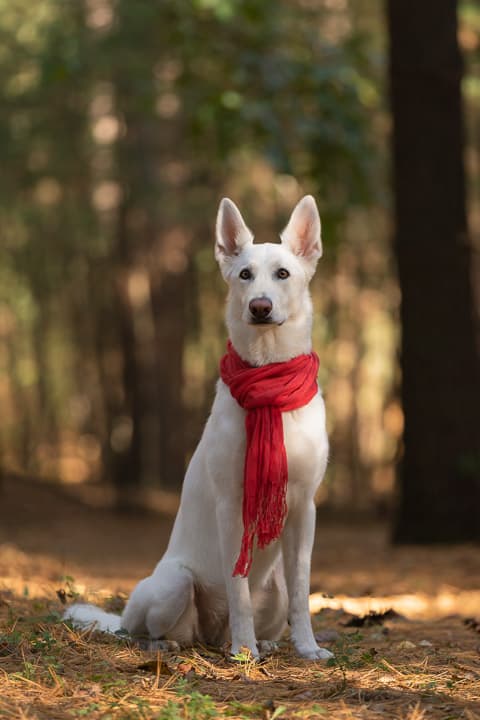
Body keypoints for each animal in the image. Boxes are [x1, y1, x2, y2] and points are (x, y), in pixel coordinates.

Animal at [65, 194, 332, 660]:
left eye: (283, 274)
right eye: (244, 275)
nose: (259, 306)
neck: (269, 386)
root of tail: (210, 634)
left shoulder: (303, 509)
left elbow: (302, 591)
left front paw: (307, 648)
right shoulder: (232, 507)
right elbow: (238, 587)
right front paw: (245, 653)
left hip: (273, 590)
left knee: (261, 609)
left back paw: (261, 642)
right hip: (173, 583)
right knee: (150, 629)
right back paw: (180, 644)